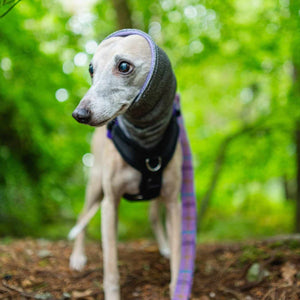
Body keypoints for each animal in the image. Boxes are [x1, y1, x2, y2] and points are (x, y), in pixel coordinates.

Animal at [69, 28, 182, 300]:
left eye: (123, 66)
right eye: (91, 69)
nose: (79, 114)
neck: (146, 141)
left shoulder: (174, 203)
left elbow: (179, 255)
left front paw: (178, 287)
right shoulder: (110, 203)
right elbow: (110, 264)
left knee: (153, 216)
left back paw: (164, 246)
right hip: (95, 185)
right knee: (82, 216)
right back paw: (77, 257)